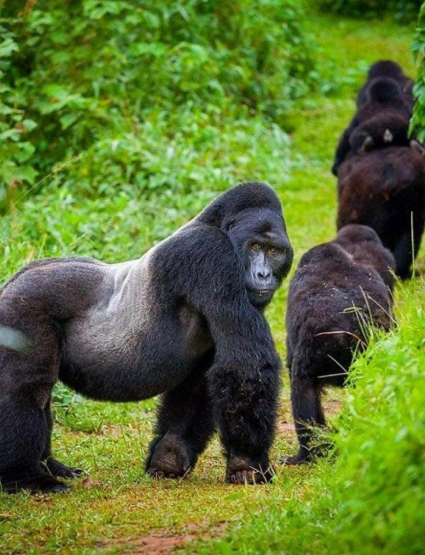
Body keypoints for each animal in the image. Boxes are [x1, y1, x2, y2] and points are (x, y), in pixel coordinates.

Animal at [0, 182, 292, 496]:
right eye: (255, 247)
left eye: (275, 251)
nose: (263, 274)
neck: (216, 224)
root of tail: (13, 281)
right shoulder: (209, 253)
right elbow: (245, 365)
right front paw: (248, 464)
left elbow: (198, 385)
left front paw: (169, 455)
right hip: (23, 307)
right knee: (26, 389)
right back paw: (26, 477)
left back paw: (50, 466)